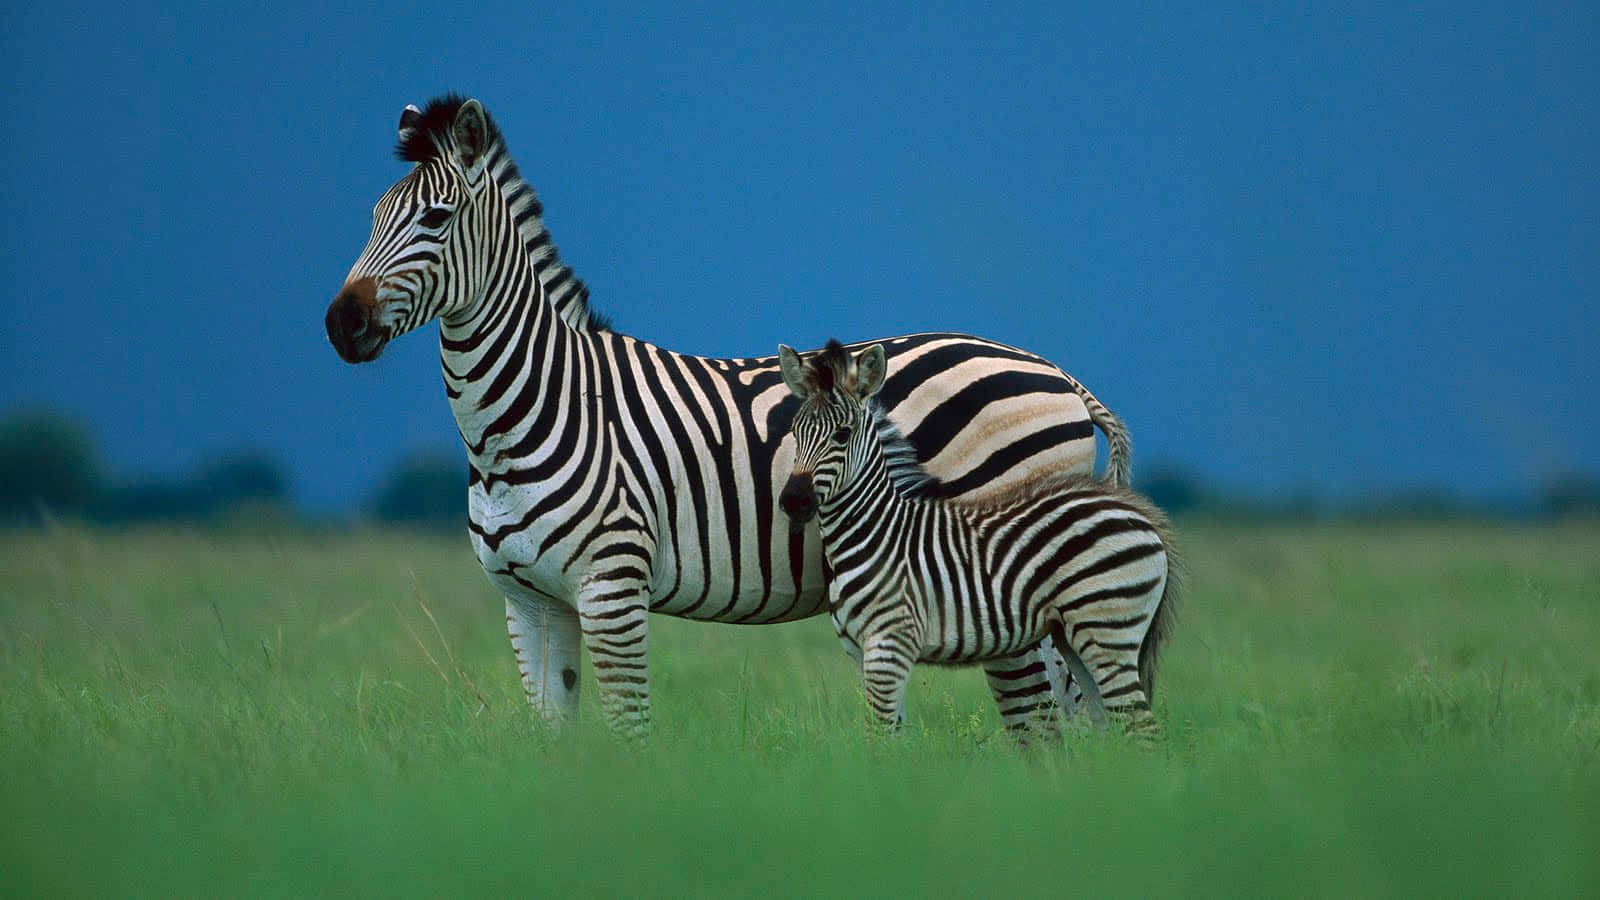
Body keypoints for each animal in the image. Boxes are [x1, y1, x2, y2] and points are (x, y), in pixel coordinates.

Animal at [323, 94, 1133, 739]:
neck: (530, 413)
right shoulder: (530, 603)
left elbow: (629, 735)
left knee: (1047, 721)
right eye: (371, 217)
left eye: (436, 218)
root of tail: (1057, 374)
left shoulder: (613, 589)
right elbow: (554, 742)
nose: (340, 324)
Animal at [775, 339, 1178, 739]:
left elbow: (880, 737)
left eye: (842, 435)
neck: (876, 531)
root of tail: (1142, 516)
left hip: (1106, 628)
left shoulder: (891, 642)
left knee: (1141, 727)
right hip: (1077, 634)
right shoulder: (861, 648)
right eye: (794, 431)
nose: (793, 500)